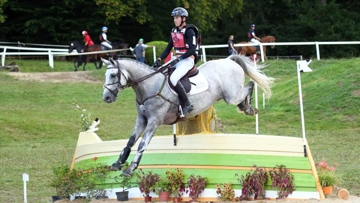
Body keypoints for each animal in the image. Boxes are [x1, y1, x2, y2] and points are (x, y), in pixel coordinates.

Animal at [100, 54, 274, 177]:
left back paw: (248, 107)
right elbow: (130, 141)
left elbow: (142, 144)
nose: (106, 98)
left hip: (232, 96)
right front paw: (118, 163)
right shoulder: (141, 119)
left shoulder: (154, 121)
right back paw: (245, 106)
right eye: (106, 75)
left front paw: (130, 169)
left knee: (249, 86)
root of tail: (228, 60)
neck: (149, 86)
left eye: (113, 75)